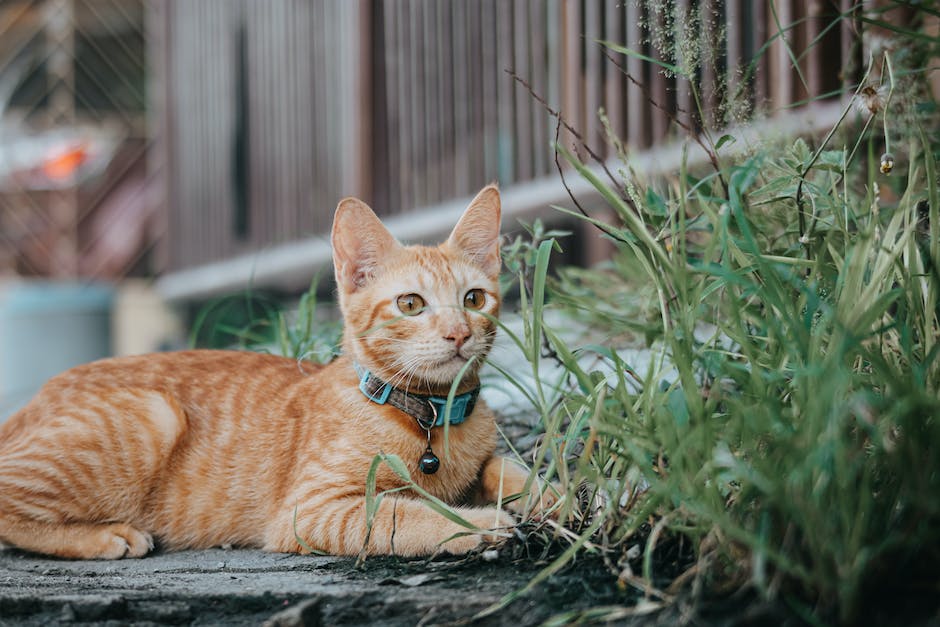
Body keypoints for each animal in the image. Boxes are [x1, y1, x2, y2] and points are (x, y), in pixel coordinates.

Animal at [0, 185, 552, 560]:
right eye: (411, 304)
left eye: (474, 299)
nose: (458, 333)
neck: (432, 414)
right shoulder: (311, 510)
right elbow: (411, 511)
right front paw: (479, 523)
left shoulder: (483, 460)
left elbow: (509, 469)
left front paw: (557, 497)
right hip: (154, 414)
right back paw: (105, 534)